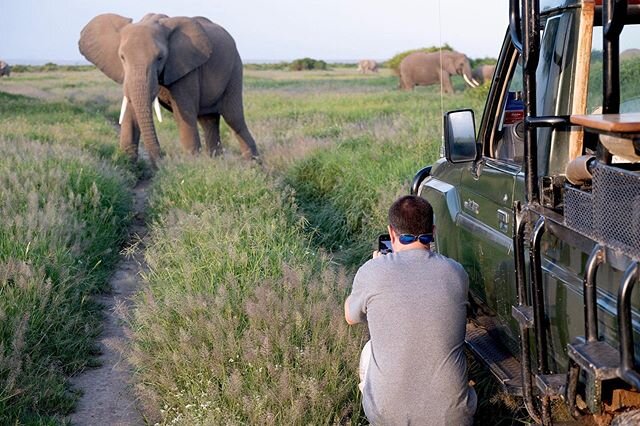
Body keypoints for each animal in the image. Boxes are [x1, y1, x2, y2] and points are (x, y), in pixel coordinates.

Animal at [79, 12, 258, 166]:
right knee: (208, 121)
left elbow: (184, 115)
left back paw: (254, 167)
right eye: (122, 57)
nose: (162, 160)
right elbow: (131, 110)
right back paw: (217, 164)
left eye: (160, 58)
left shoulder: (186, 67)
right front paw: (128, 164)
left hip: (235, 69)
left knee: (234, 119)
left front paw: (192, 167)